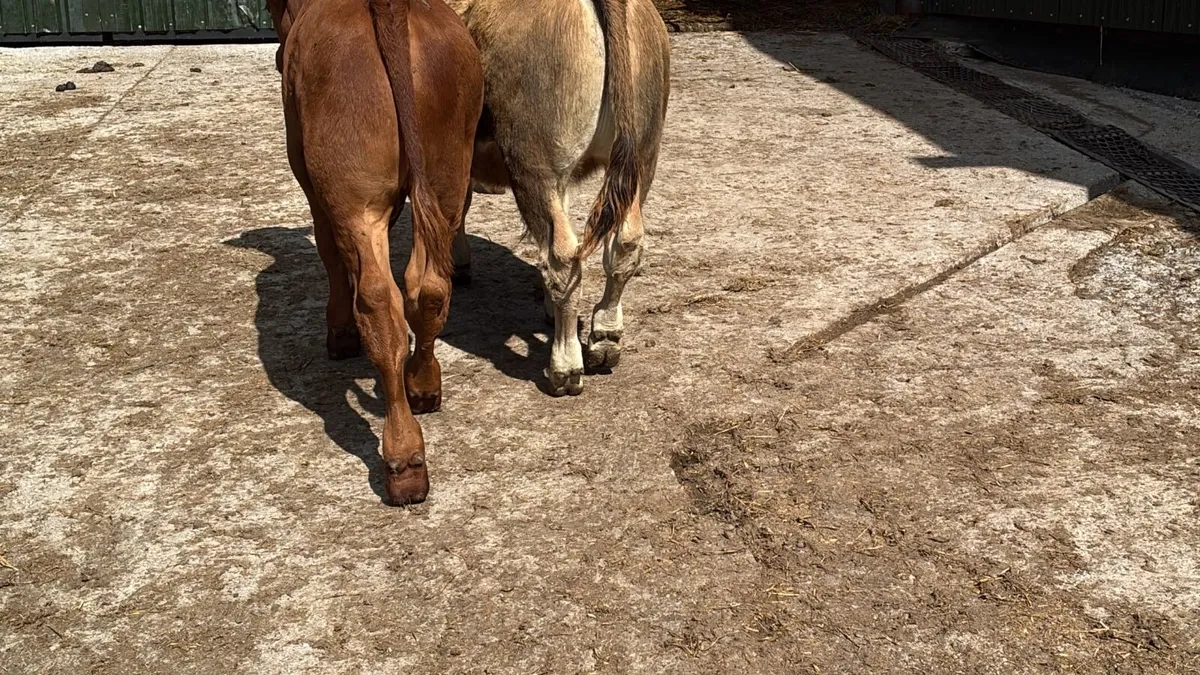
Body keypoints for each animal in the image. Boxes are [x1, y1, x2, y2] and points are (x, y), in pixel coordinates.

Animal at [267, 0, 484, 505]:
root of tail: (390, 7)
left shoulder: (311, 179)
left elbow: (330, 256)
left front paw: (340, 335)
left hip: (353, 194)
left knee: (380, 304)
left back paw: (404, 459)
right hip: (448, 172)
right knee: (428, 288)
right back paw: (423, 385)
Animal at [447, 0, 671, 396]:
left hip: (535, 166)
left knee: (562, 259)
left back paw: (565, 367)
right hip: (643, 155)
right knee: (623, 244)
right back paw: (605, 338)